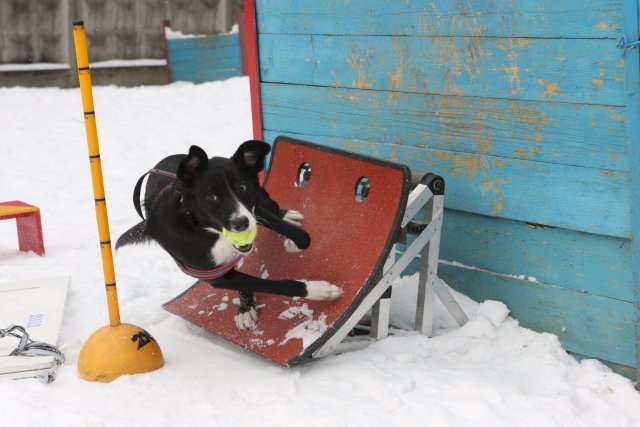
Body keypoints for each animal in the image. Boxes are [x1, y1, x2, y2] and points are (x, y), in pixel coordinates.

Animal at [117, 140, 342, 332]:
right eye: (212, 196)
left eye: (242, 187)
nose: (241, 224)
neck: (202, 227)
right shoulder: (215, 276)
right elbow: (267, 284)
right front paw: (318, 290)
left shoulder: (254, 210)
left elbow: (303, 237)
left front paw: (291, 244)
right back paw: (246, 308)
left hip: (261, 201)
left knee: (272, 207)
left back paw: (285, 214)